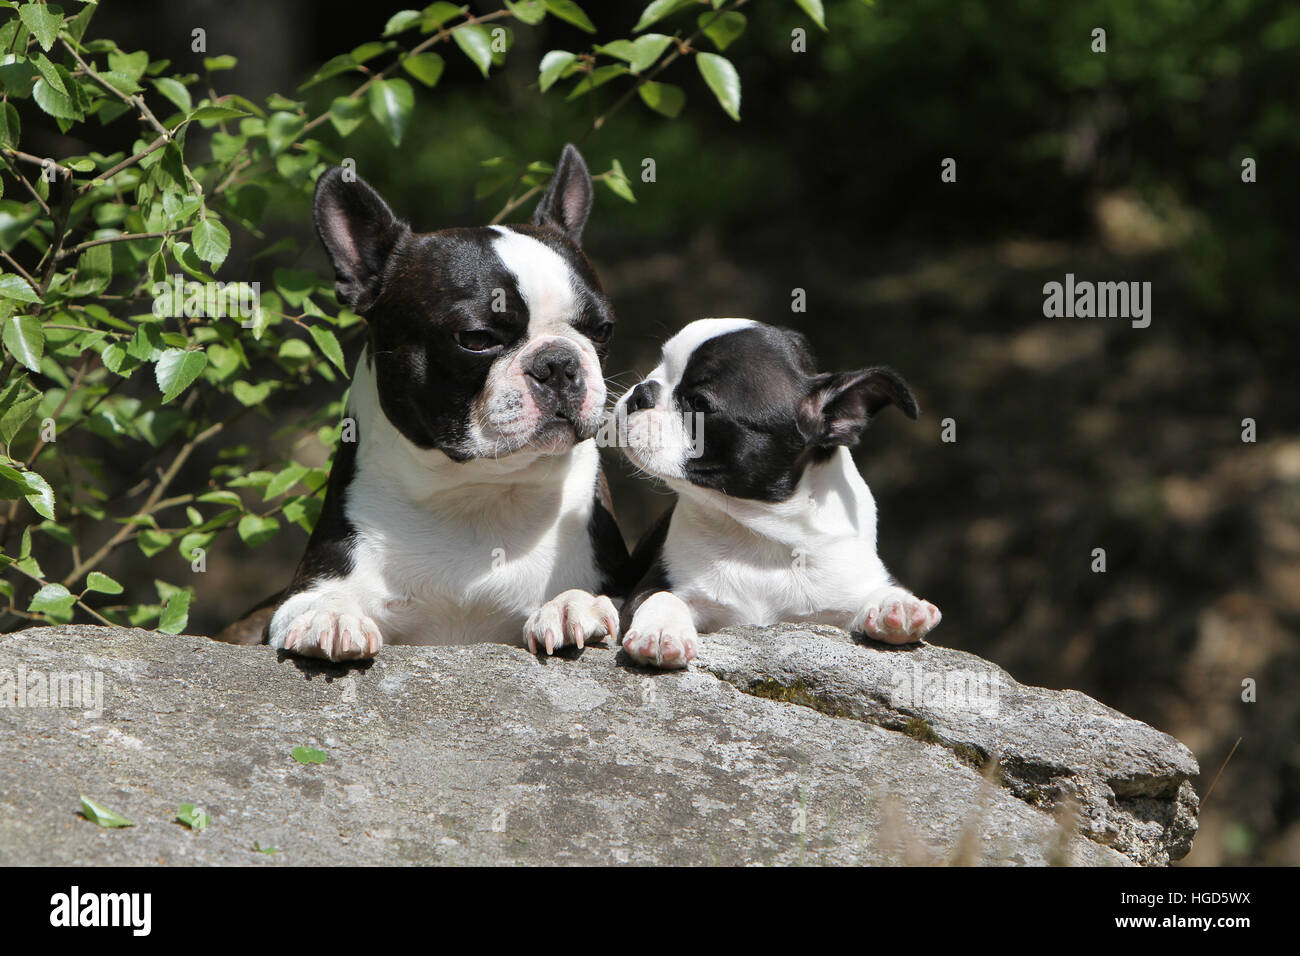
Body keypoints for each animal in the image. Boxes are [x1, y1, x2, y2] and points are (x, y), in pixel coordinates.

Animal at [217, 145, 624, 660]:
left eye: (603, 330)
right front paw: (331, 615)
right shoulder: (299, 592)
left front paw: (572, 604)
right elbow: (312, 603)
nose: (559, 363)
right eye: (476, 338)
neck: (477, 495)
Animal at [613, 317, 941, 671]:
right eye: (658, 367)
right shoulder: (652, 588)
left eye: (699, 404)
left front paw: (899, 606)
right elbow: (661, 595)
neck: (760, 531)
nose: (641, 392)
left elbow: (876, 592)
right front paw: (661, 631)